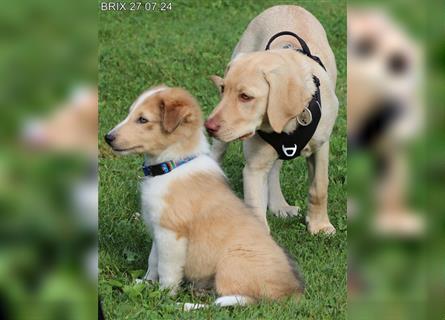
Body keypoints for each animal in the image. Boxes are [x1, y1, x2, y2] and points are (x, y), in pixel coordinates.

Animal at [106, 86, 304, 308]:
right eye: (130, 113)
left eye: (142, 119)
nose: (107, 137)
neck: (171, 166)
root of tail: (292, 292)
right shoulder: (159, 229)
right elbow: (153, 260)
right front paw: (146, 282)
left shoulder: (171, 233)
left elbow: (166, 268)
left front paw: (162, 295)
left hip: (231, 262)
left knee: (240, 300)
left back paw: (188, 304)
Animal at [206, 5, 338, 234]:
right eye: (223, 89)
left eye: (246, 96)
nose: (208, 125)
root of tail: (287, 6)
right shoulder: (254, 167)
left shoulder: (321, 146)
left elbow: (319, 187)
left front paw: (320, 225)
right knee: (217, 153)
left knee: (275, 170)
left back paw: (279, 206)